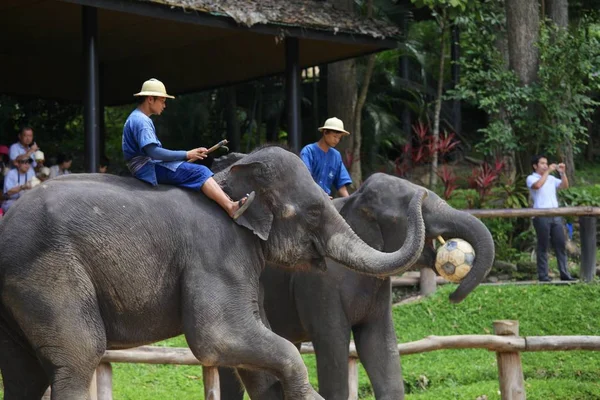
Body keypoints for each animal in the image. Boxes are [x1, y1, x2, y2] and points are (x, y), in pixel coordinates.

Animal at [0, 147, 432, 400]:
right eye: (313, 211)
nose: (420, 193)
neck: (229, 180)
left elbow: (255, 358)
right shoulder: (216, 253)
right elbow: (216, 337)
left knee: (24, 374)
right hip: (50, 275)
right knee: (79, 356)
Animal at [218, 173, 494, 400]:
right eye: (420, 209)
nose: (452, 296)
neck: (355, 201)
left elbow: (380, 348)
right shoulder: (320, 286)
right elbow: (333, 349)